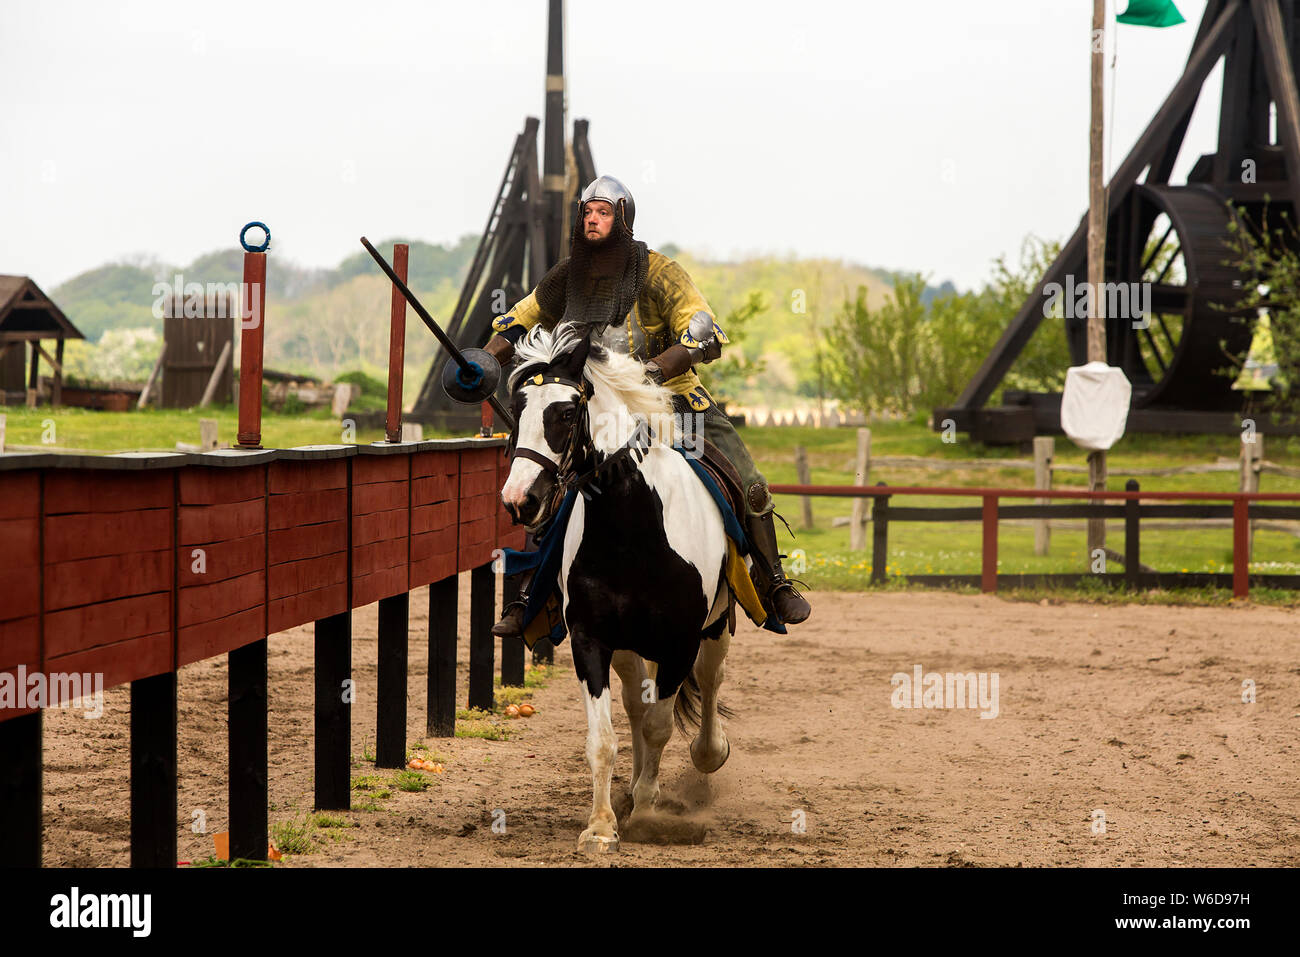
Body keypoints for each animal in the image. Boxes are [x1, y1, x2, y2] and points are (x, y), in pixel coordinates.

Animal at [501, 323, 738, 852]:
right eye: (517, 412)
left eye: (567, 412)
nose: (519, 499)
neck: (633, 530)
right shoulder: (592, 641)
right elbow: (605, 738)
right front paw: (601, 824)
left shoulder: (679, 643)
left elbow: (660, 727)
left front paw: (647, 812)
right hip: (630, 647)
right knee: (634, 706)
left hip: (716, 627)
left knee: (709, 682)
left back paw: (705, 755)